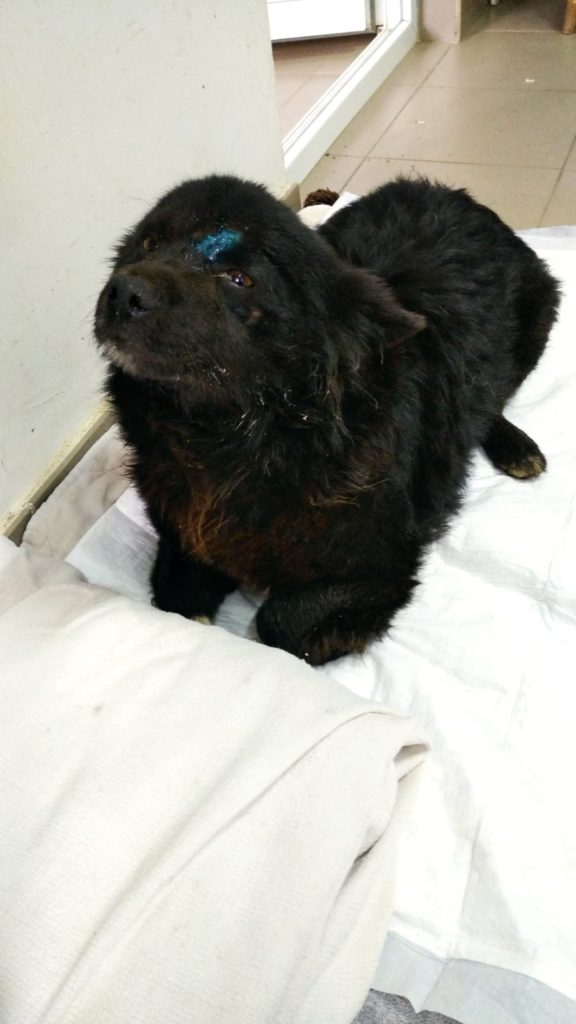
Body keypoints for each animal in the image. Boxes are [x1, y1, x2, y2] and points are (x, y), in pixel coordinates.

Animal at [94, 174, 559, 665]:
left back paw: (515, 445)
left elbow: (278, 621)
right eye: (149, 242)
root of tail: (457, 195)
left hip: (537, 327)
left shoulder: (385, 567)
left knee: (491, 401)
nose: (124, 293)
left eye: (239, 278)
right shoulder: (181, 530)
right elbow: (176, 603)